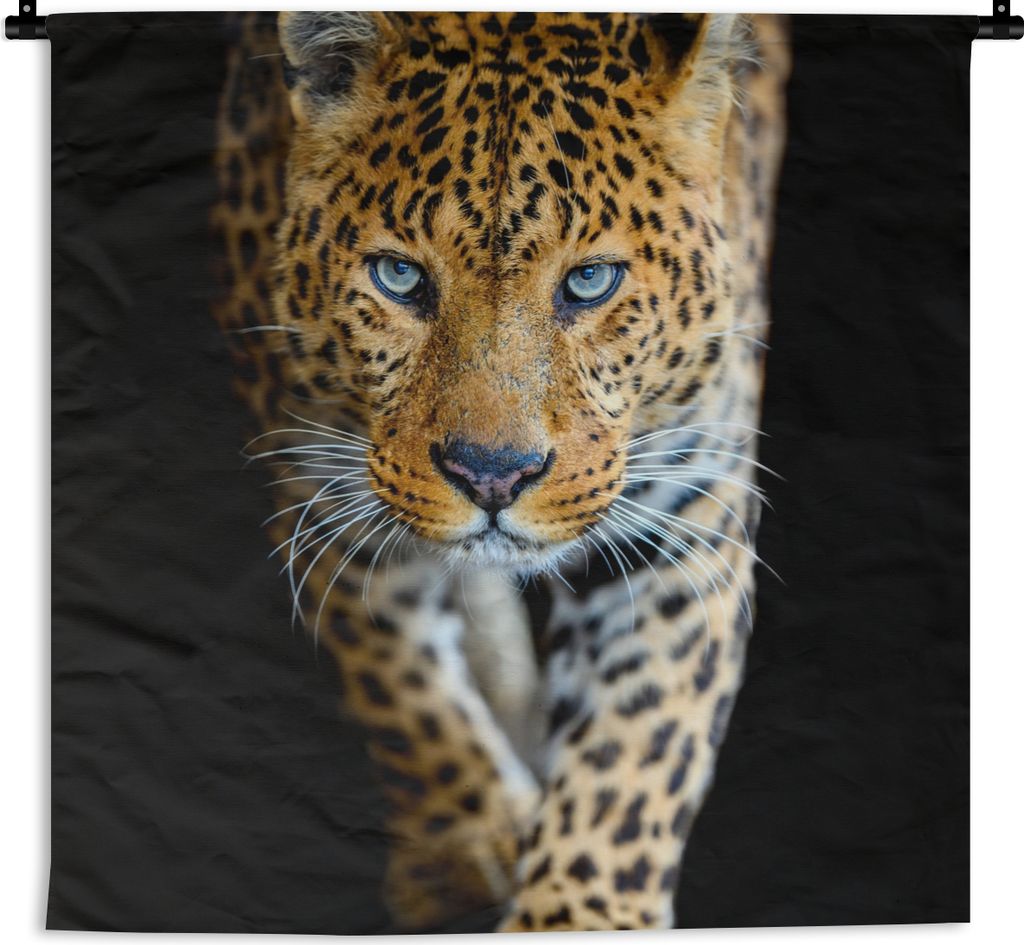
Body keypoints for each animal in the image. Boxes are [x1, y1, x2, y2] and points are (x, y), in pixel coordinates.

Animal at [211, 11, 790, 932]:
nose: (491, 476)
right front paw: (465, 850)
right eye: (399, 276)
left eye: (590, 281)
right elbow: (397, 682)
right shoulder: (317, 480)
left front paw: (577, 914)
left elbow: (634, 760)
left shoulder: (686, 519)